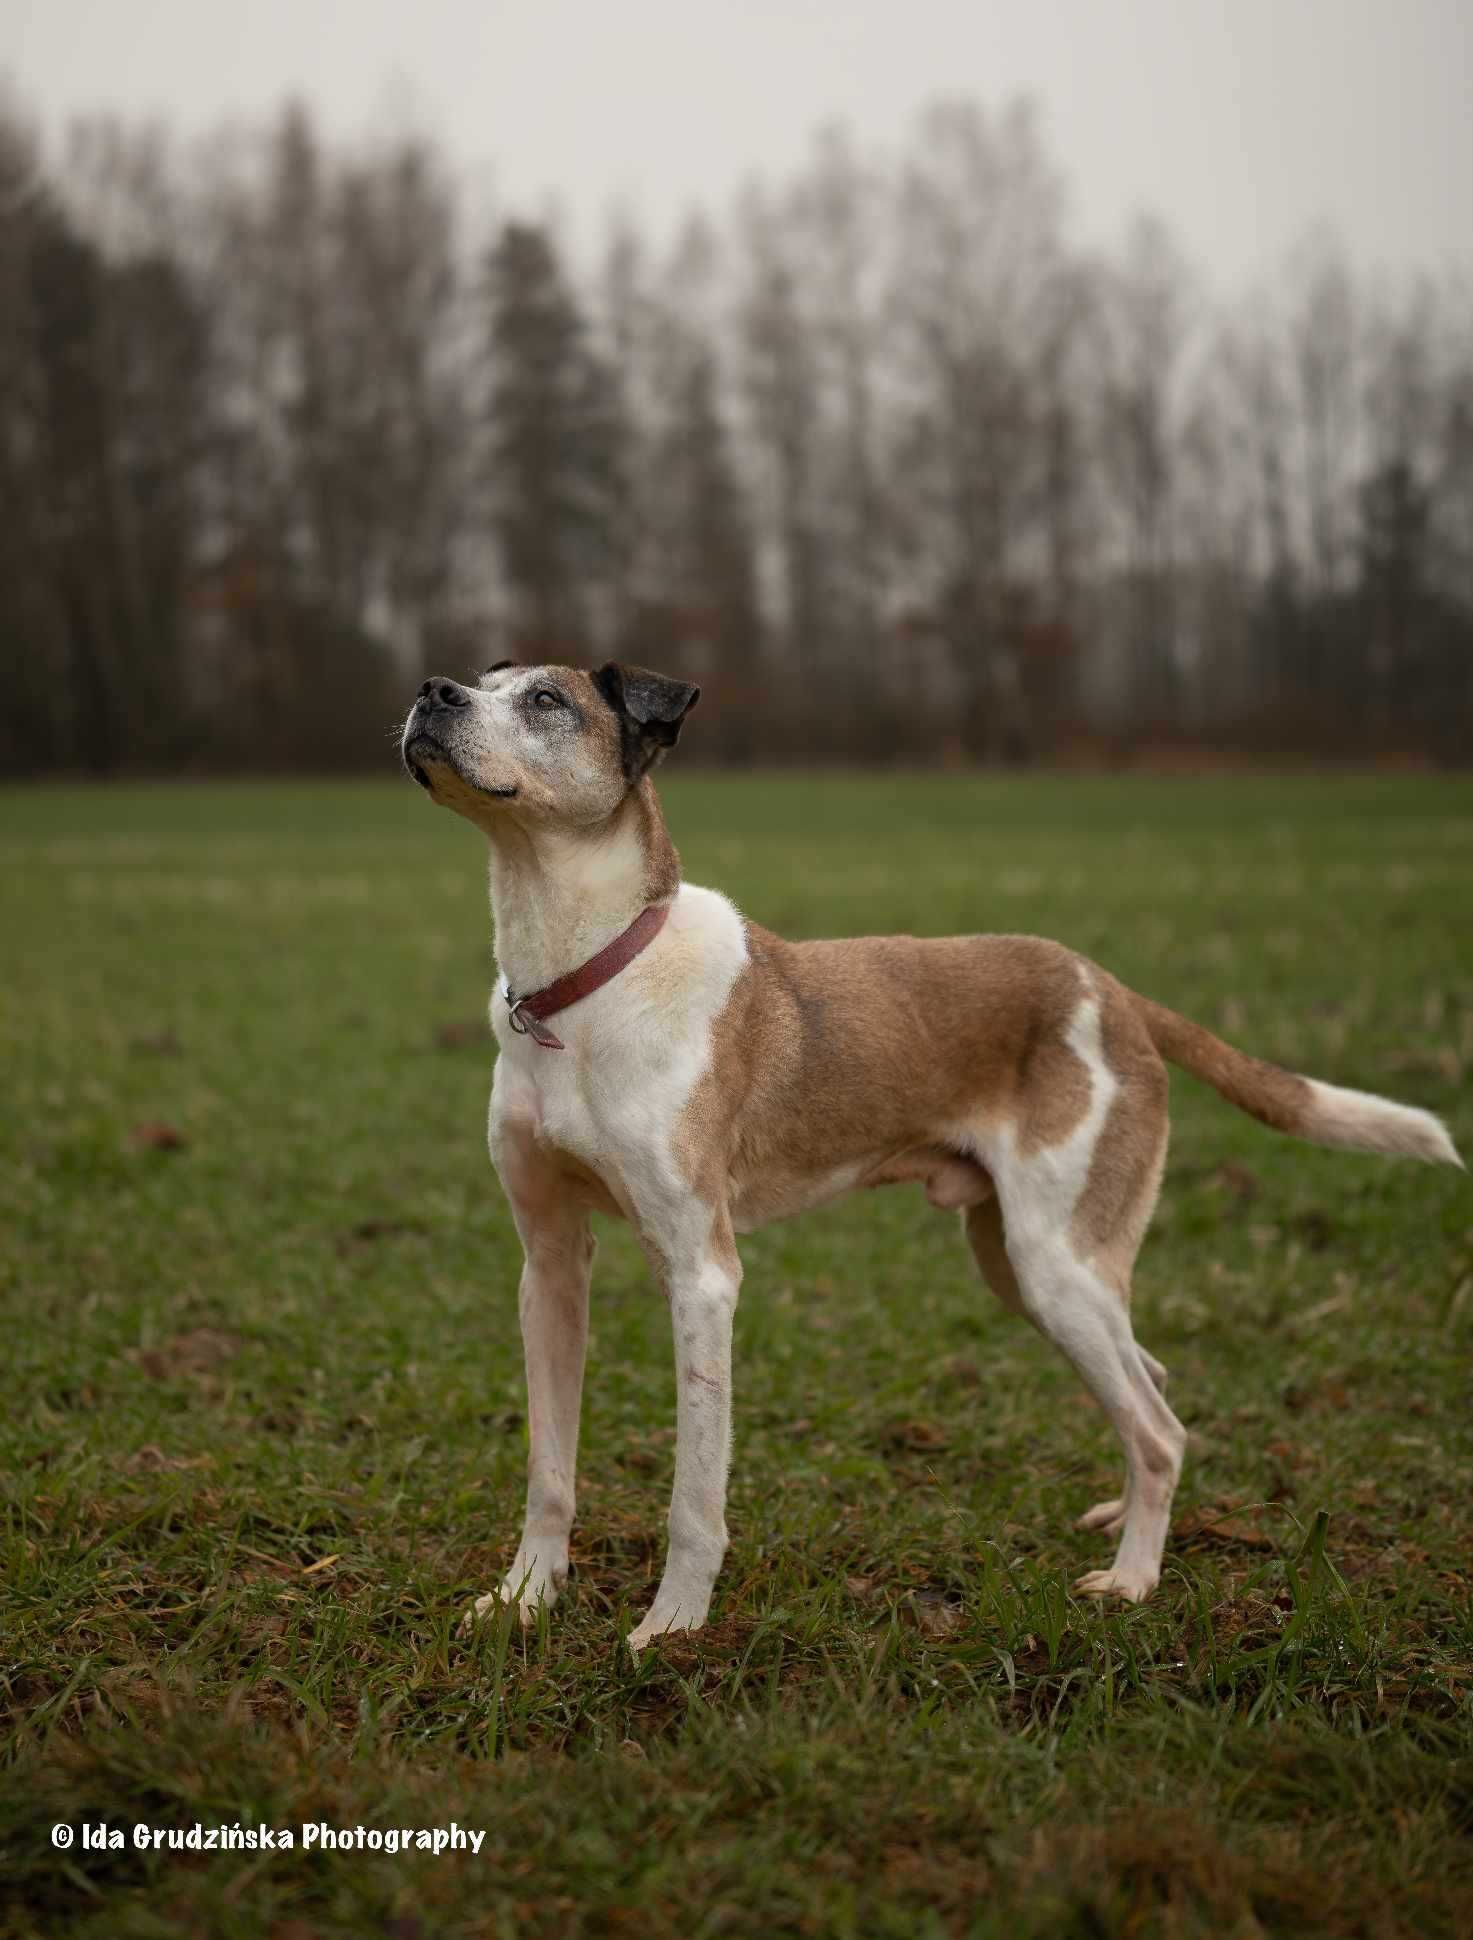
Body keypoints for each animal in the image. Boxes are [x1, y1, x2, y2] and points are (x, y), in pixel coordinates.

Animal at [399, 659, 1467, 1645]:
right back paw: (1124, 1522)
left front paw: (672, 1633)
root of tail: (1113, 990)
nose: (430, 692)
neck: (581, 983)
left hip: (1052, 1262)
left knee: (1160, 1429)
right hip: (1023, 1263)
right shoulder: (548, 1263)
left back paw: (1130, 1581)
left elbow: (694, 1496)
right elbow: (548, 1468)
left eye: (546, 700)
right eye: (485, 678)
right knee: (1151, 1386)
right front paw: (523, 1601)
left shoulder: (700, 1274)